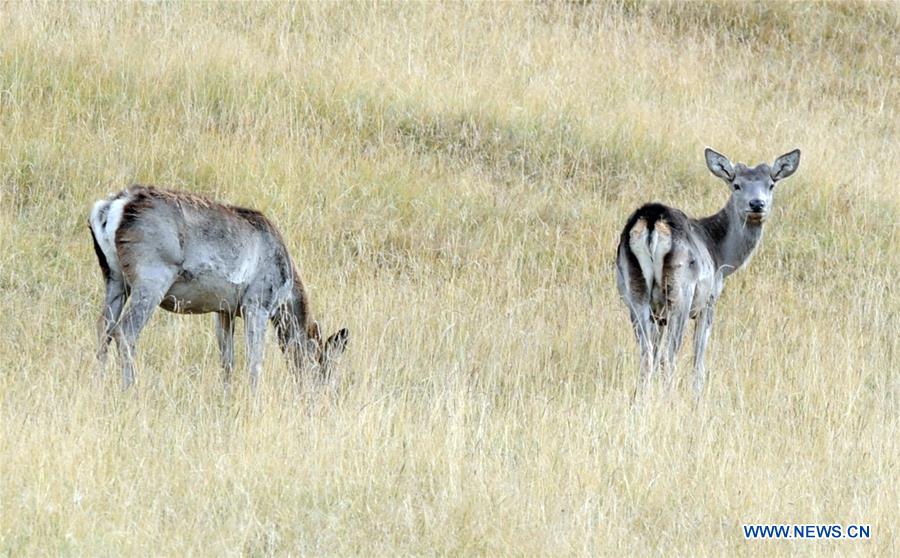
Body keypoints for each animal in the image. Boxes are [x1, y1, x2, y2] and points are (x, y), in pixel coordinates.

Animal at [88, 186, 348, 392]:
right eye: (324, 368)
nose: (325, 397)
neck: (285, 296)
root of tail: (111, 208)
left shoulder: (224, 309)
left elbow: (227, 360)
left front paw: (227, 396)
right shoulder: (258, 301)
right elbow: (254, 360)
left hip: (113, 276)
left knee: (103, 327)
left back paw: (99, 385)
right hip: (152, 275)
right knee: (125, 331)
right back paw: (130, 390)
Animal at [620, 149, 800, 400]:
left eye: (771, 184)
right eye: (736, 184)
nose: (757, 204)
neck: (721, 258)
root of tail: (651, 220)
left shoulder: (658, 314)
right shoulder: (709, 301)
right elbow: (698, 358)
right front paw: (697, 395)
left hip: (634, 291)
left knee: (647, 354)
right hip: (681, 294)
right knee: (668, 355)